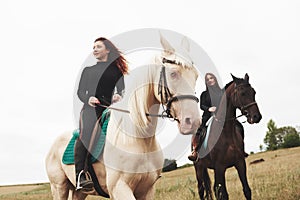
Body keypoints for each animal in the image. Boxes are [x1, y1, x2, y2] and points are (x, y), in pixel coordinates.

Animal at [45, 35, 202, 199]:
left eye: (196, 76)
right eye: (173, 74)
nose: (192, 121)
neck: (139, 138)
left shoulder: (147, 190)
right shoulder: (119, 188)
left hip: (79, 192)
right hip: (59, 188)